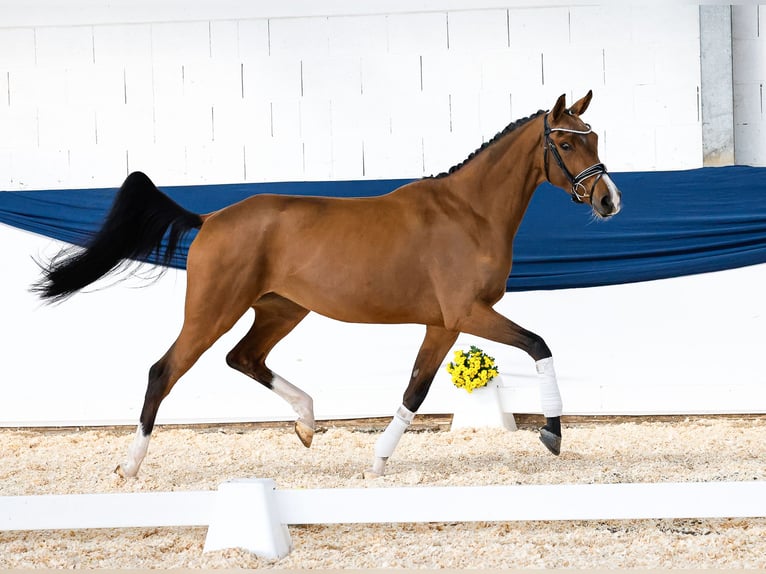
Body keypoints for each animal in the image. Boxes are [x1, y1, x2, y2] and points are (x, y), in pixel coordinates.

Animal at [34, 92, 624, 480]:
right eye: (565, 141)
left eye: (594, 137)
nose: (609, 201)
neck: (469, 213)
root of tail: (211, 218)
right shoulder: (466, 313)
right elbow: (539, 345)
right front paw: (552, 434)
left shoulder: (442, 324)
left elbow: (414, 390)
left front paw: (378, 461)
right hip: (213, 310)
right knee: (165, 370)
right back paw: (129, 466)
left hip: (281, 310)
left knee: (243, 358)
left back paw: (307, 423)